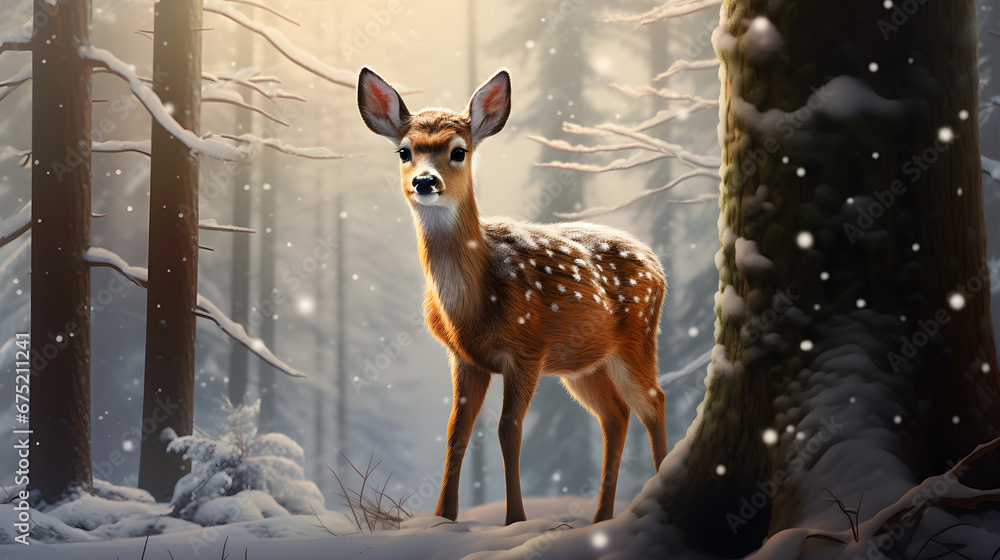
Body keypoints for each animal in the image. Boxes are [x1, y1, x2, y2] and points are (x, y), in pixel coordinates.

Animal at [357, 67, 668, 526]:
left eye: (458, 151)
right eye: (404, 151)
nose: (425, 181)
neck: (473, 304)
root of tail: (657, 264)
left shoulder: (527, 350)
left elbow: (508, 429)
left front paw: (515, 520)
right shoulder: (465, 358)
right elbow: (456, 431)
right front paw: (444, 517)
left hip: (636, 338)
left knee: (653, 402)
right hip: (583, 362)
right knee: (615, 414)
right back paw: (601, 519)